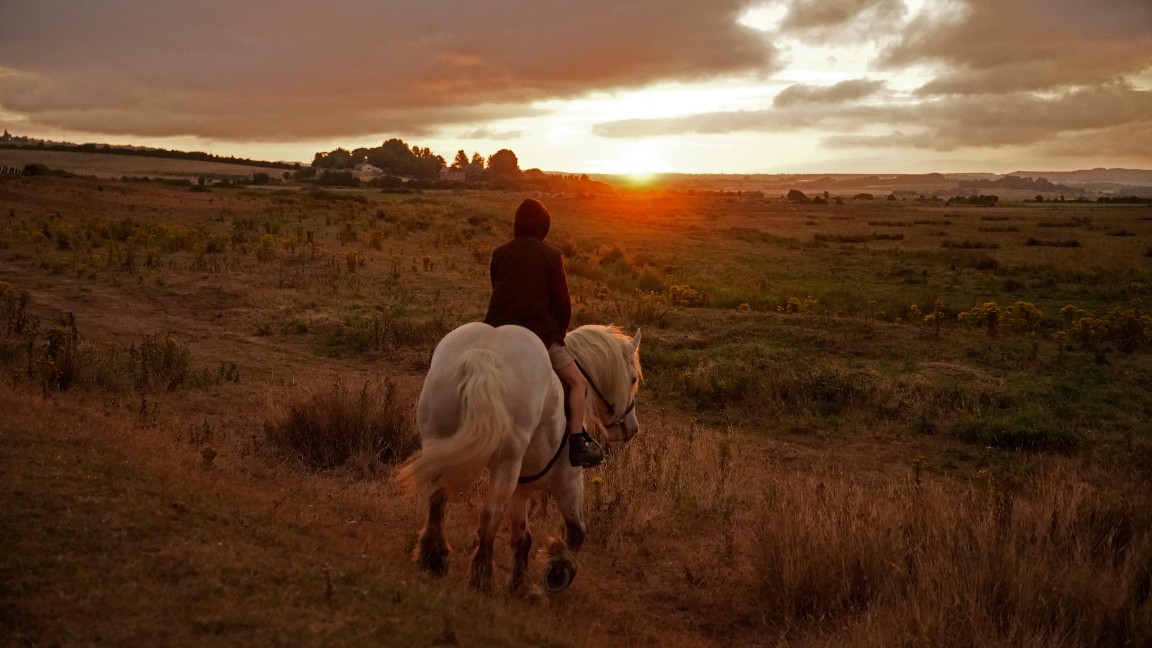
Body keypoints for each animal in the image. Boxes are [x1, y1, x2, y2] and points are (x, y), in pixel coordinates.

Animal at [396, 320, 640, 594]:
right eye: (632, 379)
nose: (631, 428)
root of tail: (482, 354)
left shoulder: (521, 488)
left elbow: (522, 537)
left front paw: (520, 584)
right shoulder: (569, 482)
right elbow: (577, 530)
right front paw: (559, 571)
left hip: (439, 440)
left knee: (437, 499)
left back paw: (433, 557)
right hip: (507, 463)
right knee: (489, 514)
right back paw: (481, 577)